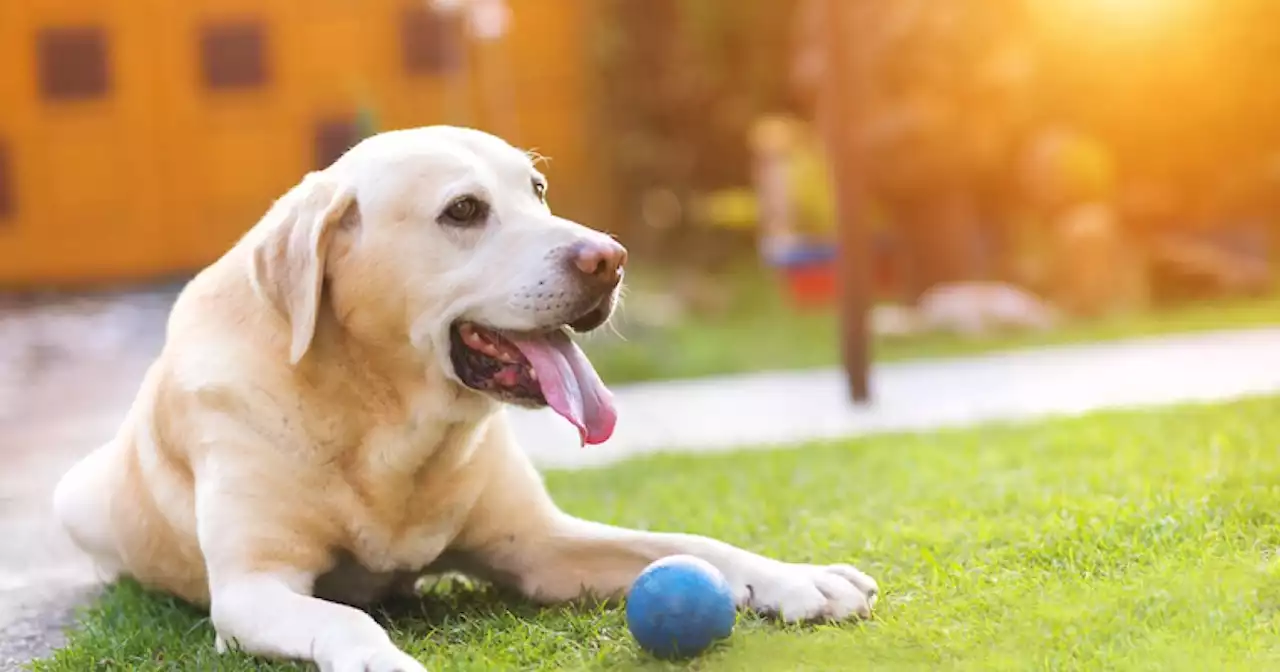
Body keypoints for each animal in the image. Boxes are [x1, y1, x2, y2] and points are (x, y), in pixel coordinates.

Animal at [49, 127, 880, 670]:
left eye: (537, 191)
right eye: (463, 212)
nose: (611, 259)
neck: (385, 419)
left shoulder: (542, 547)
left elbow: (694, 544)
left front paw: (798, 579)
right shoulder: (254, 589)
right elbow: (346, 623)